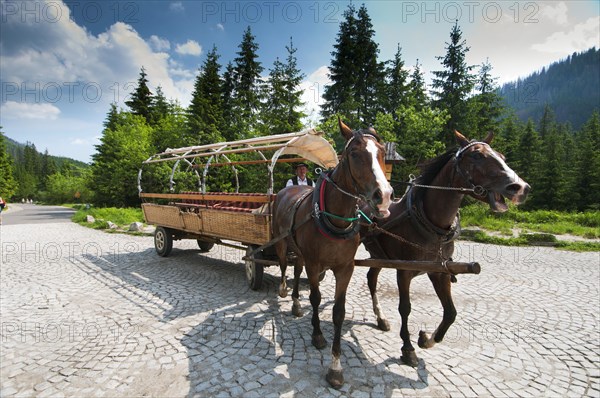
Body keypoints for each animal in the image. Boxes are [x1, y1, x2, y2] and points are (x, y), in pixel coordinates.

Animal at [274, 119, 394, 388]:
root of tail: (285, 192)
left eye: (382, 152)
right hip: (283, 242)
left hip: (300, 251)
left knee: (296, 268)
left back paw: (295, 303)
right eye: (354, 153)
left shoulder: (345, 268)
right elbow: (316, 299)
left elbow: (339, 312)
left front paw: (336, 367)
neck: (335, 217)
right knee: (285, 265)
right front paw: (317, 335)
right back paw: (284, 289)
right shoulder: (314, 264)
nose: (384, 196)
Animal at [360, 131, 528, 366]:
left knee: (371, 278)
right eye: (477, 156)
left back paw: (381, 318)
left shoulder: (440, 271)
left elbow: (450, 313)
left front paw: (426, 339)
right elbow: (405, 308)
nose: (520, 187)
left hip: (379, 255)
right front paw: (408, 348)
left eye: (502, 155)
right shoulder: (404, 271)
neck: (429, 223)